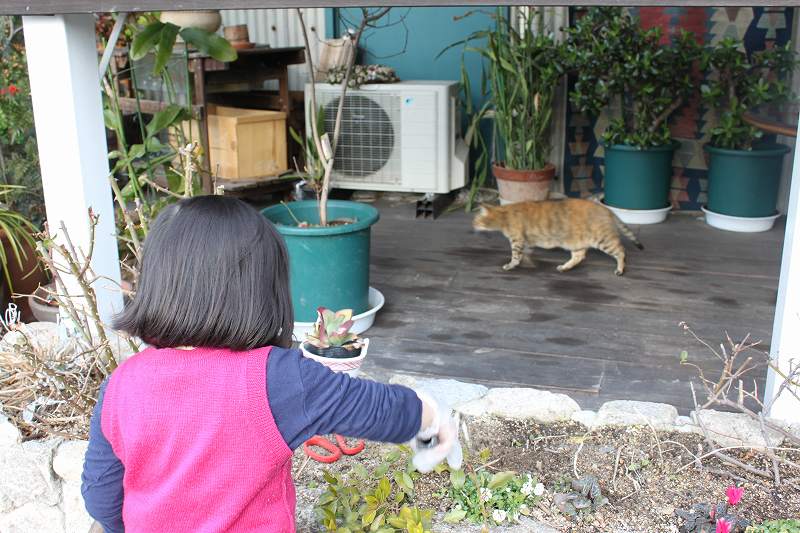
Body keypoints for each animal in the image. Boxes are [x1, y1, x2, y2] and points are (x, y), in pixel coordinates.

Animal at [476, 198, 644, 274]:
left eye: (476, 219)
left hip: (604, 240)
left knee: (621, 251)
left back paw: (620, 269)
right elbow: (527, 253)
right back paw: (564, 267)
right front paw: (528, 262)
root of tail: (607, 209)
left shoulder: (517, 240)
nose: (472, 225)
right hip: (576, 242)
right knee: (579, 256)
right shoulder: (526, 241)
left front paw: (511, 265)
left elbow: (516, 256)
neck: (504, 214)